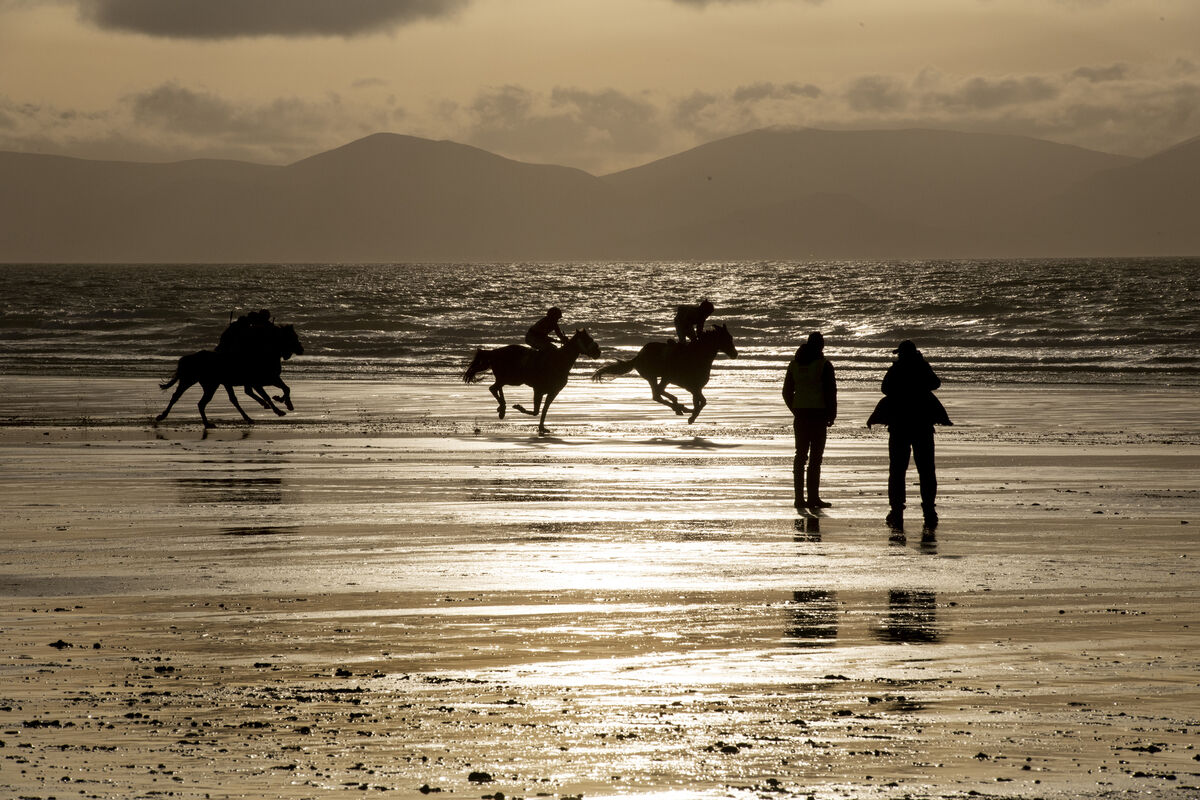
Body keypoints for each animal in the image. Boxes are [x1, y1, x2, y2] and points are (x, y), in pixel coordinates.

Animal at [156, 324, 304, 429]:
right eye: (292, 337)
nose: (301, 349)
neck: (264, 354)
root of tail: (187, 359)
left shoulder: (269, 379)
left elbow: (286, 388)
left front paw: (285, 402)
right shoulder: (259, 381)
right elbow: (269, 395)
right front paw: (279, 408)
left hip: (208, 384)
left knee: (197, 401)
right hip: (195, 381)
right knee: (189, 400)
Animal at [462, 328, 601, 435]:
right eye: (587, 339)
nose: (598, 352)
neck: (559, 361)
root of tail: (493, 352)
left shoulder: (553, 392)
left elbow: (543, 410)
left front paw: (542, 428)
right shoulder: (538, 389)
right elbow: (536, 411)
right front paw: (518, 407)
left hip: (508, 378)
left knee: (496, 387)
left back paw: (502, 409)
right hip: (512, 378)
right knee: (493, 388)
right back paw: (502, 408)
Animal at [591, 323, 738, 424]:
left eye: (731, 337)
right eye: (727, 339)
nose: (735, 354)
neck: (698, 356)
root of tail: (638, 356)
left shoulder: (695, 388)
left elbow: (701, 402)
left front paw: (691, 414)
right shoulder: (693, 387)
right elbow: (701, 402)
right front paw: (691, 417)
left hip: (659, 378)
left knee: (658, 394)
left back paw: (679, 406)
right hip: (656, 377)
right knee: (657, 393)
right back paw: (679, 406)